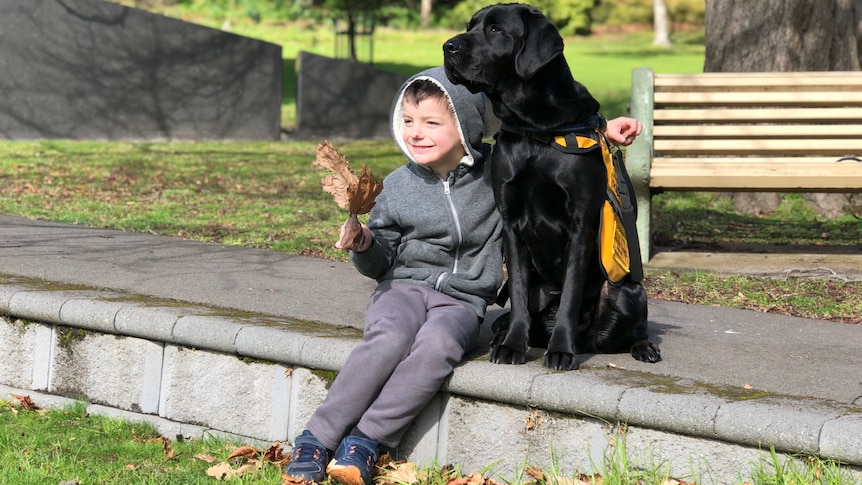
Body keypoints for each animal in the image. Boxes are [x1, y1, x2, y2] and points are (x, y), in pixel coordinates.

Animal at [442, 1, 664, 368]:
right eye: (470, 25)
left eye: (496, 30)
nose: (448, 46)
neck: (534, 129)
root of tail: (589, 340)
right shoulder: (511, 224)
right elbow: (517, 293)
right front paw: (512, 346)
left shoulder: (580, 224)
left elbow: (570, 297)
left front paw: (561, 349)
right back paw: (504, 335)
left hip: (628, 291)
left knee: (635, 327)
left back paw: (642, 347)